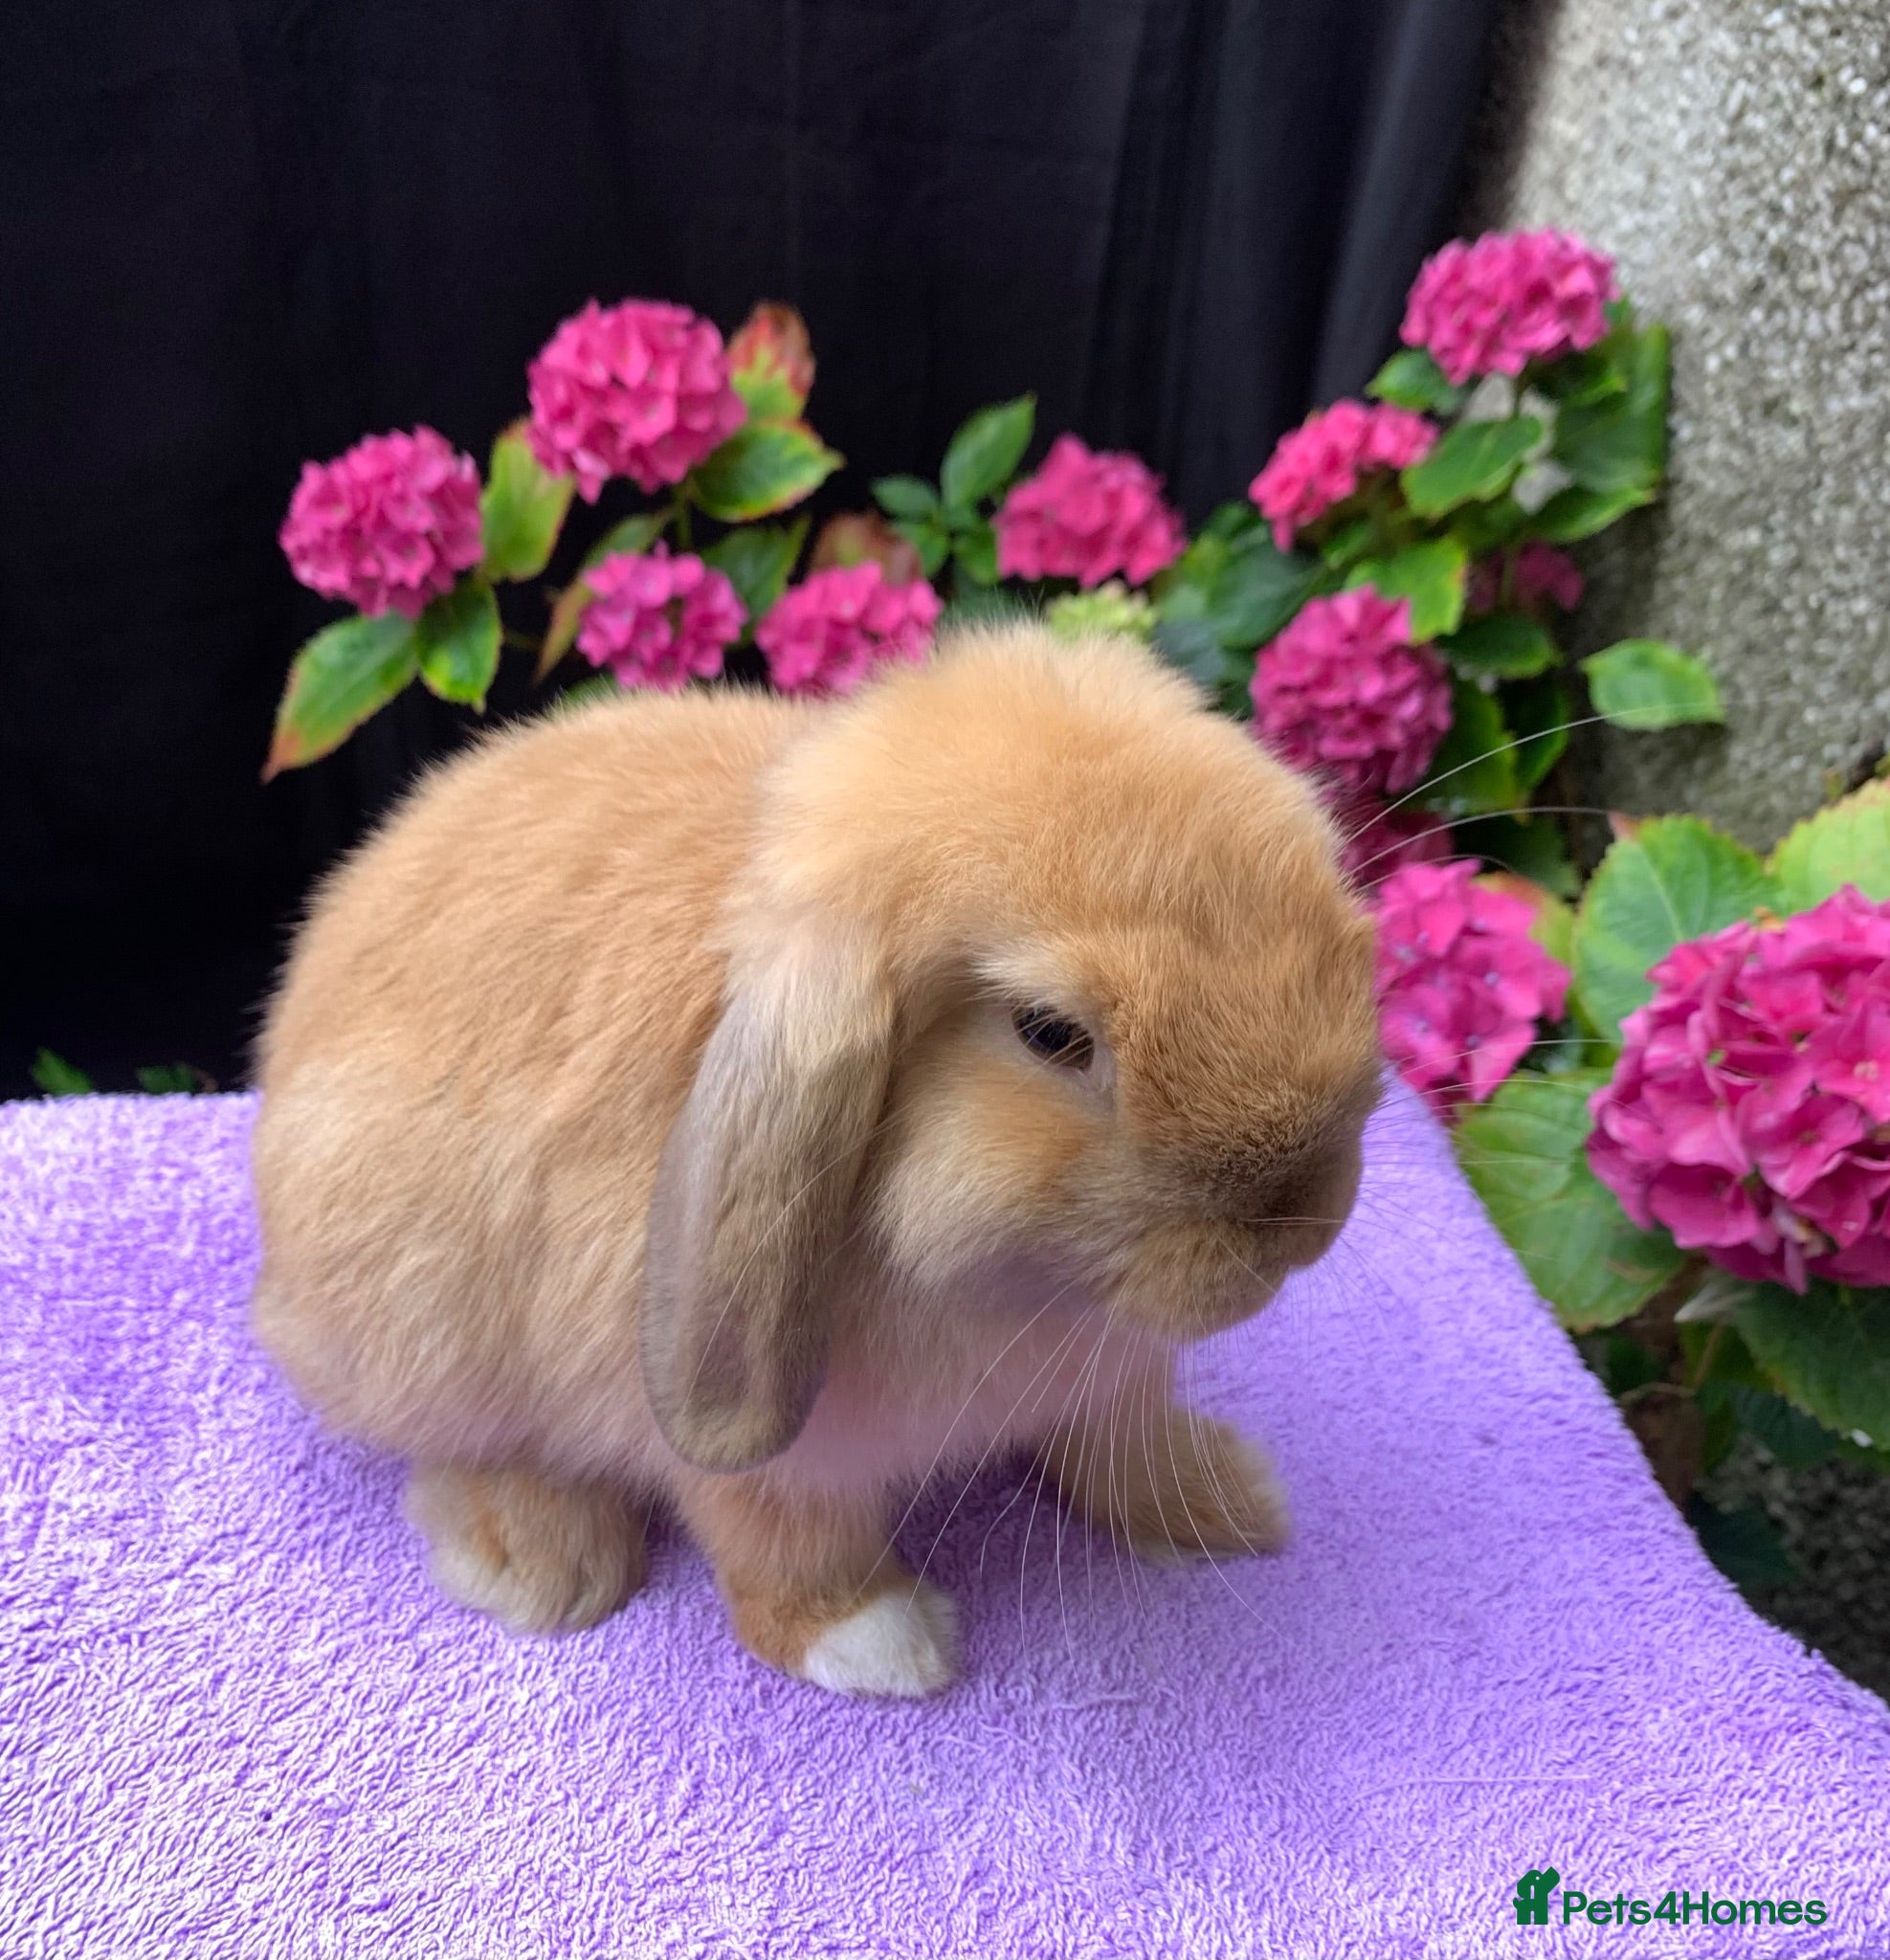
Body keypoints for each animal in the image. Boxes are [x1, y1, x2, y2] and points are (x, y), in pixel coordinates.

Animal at [250, 624, 1382, 1697]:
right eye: (1049, 1033)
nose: (1303, 1219)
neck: (1023, 1294)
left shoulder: (1112, 1378)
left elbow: (1124, 1446)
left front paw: (1221, 1499)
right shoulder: (752, 1450)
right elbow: (777, 1534)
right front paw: (879, 1643)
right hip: (415, 1321)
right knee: (452, 1447)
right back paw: (540, 1559)